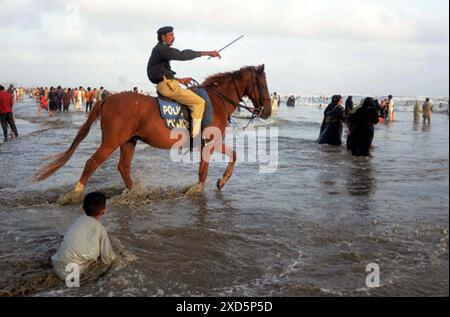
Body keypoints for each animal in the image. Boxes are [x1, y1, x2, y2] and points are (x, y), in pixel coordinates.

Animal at [35, 64, 272, 202]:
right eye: (263, 84)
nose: (268, 111)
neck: (216, 101)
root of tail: (107, 98)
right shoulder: (211, 141)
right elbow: (224, 161)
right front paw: (218, 182)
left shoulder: (207, 144)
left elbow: (215, 164)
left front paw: (209, 185)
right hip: (111, 142)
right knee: (92, 163)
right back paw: (76, 192)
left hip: (129, 141)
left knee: (123, 167)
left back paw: (133, 192)